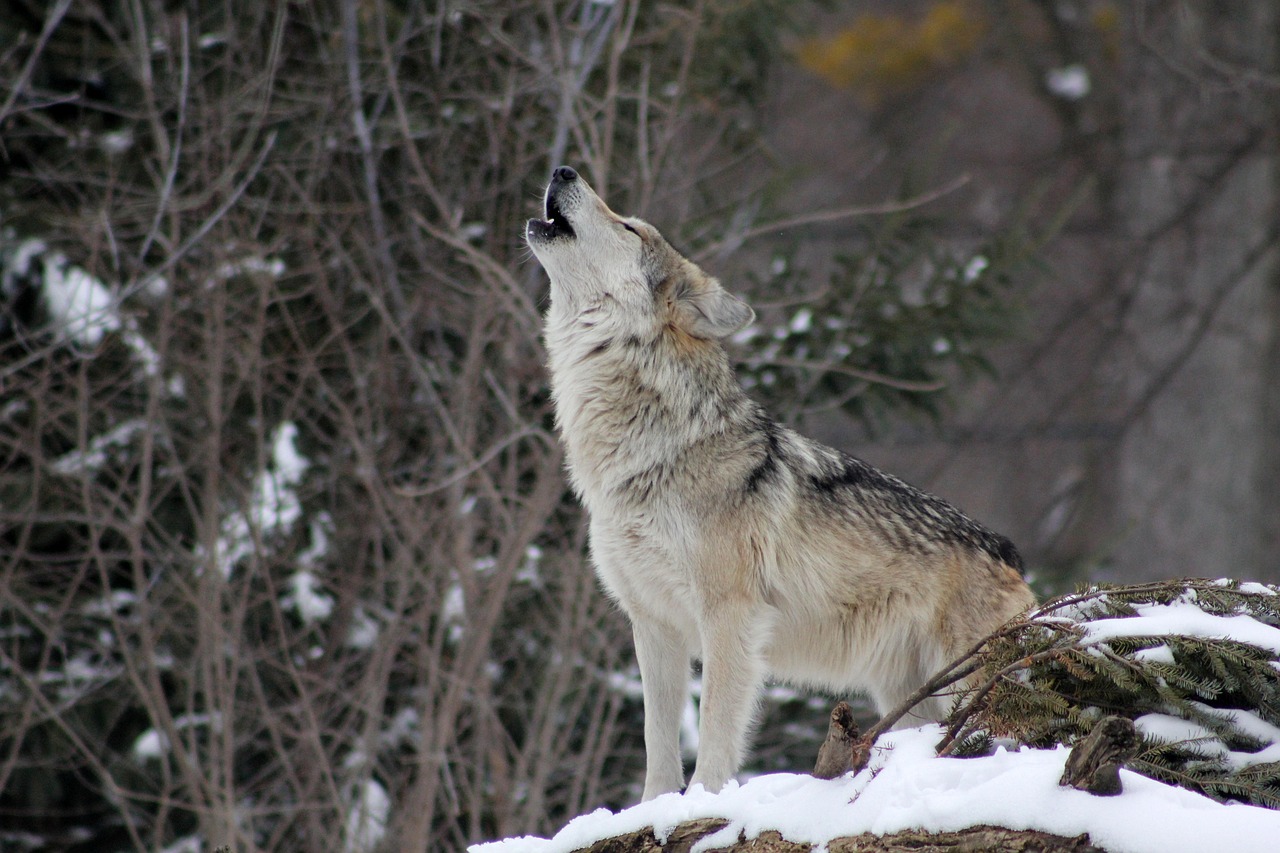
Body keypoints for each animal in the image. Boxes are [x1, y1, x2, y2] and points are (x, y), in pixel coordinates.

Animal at [526, 166, 1035, 800]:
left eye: (629, 227)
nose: (563, 170)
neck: (650, 452)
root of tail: (1011, 553)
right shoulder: (654, 624)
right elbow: (657, 743)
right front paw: (654, 809)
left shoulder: (730, 616)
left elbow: (715, 730)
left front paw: (703, 803)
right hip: (910, 698)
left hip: (969, 686)